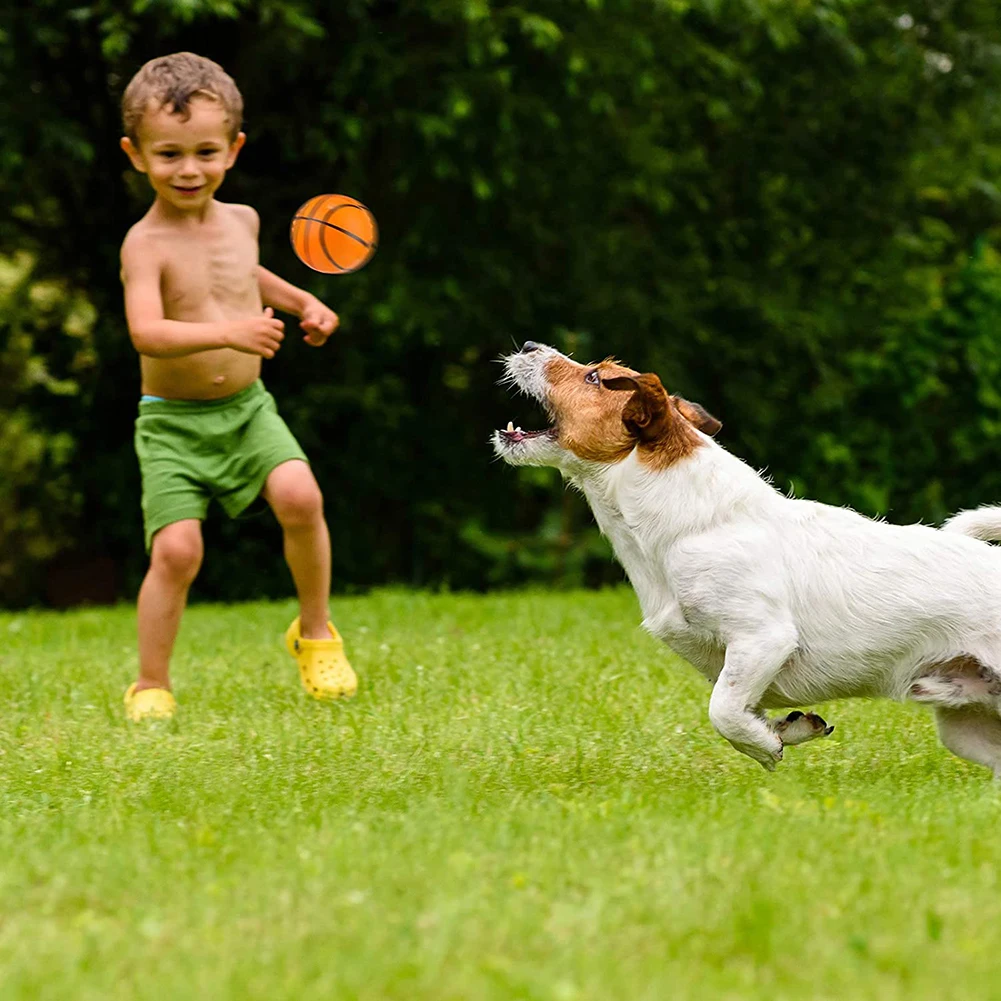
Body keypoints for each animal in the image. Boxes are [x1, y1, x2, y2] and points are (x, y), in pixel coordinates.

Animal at [494, 342, 1001, 772]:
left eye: (595, 377)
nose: (527, 346)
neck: (689, 521)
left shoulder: (762, 639)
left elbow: (723, 710)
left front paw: (765, 744)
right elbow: (743, 706)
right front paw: (788, 728)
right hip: (965, 725)